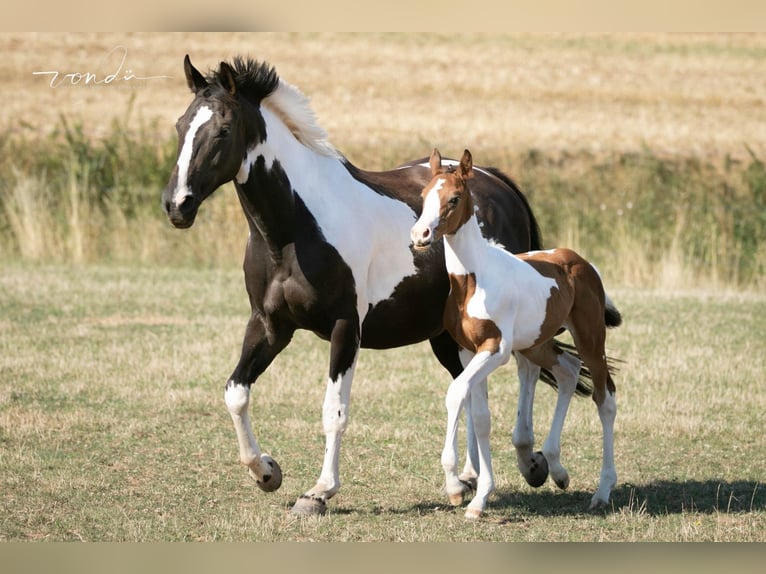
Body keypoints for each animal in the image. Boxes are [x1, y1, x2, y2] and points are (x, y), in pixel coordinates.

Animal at [162, 57, 584, 516]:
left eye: (223, 129)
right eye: (180, 125)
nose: (177, 205)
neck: (296, 229)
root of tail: (498, 183)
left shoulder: (346, 327)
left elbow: (335, 411)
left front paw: (319, 492)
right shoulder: (269, 325)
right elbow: (236, 393)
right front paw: (267, 472)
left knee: (528, 369)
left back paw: (533, 462)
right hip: (449, 335)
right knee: (474, 389)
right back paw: (468, 478)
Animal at [414, 151, 624, 520]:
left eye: (454, 198)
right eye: (424, 196)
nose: (420, 234)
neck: (473, 279)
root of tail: (580, 261)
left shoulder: (495, 350)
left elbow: (455, 394)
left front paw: (457, 486)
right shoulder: (469, 352)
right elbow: (480, 415)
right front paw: (479, 497)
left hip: (590, 339)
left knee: (605, 399)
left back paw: (602, 492)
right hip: (535, 342)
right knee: (568, 371)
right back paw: (557, 468)